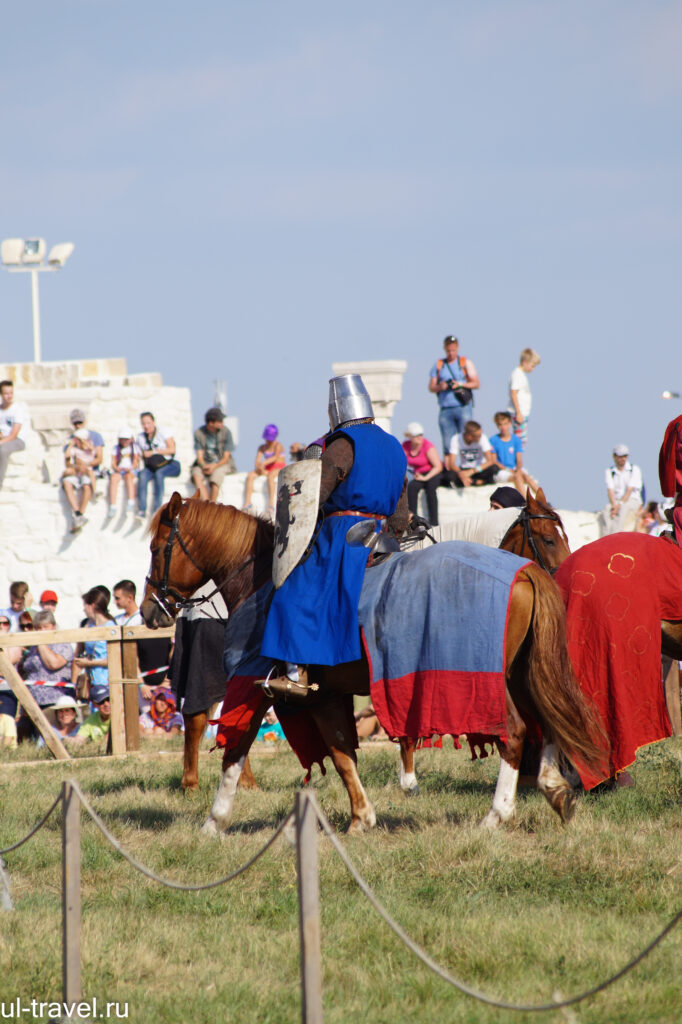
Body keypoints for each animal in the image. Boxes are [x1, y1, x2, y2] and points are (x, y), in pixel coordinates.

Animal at [140, 491, 602, 835]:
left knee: (516, 731)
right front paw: (362, 818)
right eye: (548, 537)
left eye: (156, 548)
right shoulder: (324, 695)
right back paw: (555, 791)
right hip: (523, 673)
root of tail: (523, 573)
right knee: (547, 720)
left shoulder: (259, 685)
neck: (261, 581)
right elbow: (342, 753)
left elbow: (236, 749)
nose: (151, 610)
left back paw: (497, 815)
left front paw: (213, 822)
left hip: (488, 681)